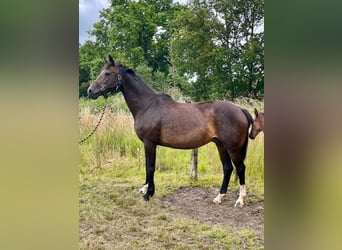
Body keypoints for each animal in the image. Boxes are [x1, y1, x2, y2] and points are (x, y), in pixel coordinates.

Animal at [87, 56, 254, 207]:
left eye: (107, 73)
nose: (90, 91)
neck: (147, 105)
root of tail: (240, 109)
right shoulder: (147, 144)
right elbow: (147, 165)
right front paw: (145, 189)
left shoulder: (150, 143)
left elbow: (150, 167)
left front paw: (148, 194)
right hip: (220, 145)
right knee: (228, 168)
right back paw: (219, 197)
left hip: (232, 147)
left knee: (240, 168)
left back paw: (240, 200)